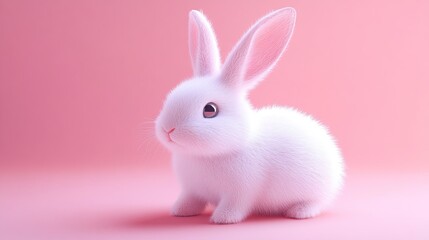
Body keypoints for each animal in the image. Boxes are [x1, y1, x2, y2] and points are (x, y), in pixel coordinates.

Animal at [155, 7, 342, 225]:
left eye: (210, 110)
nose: (168, 129)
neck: (206, 156)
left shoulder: (240, 192)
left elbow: (235, 205)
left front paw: (223, 218)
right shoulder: (191, 190)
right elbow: (190, 200)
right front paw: (180, 211)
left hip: (317, 190)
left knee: (316, 203)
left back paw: (299, 212)